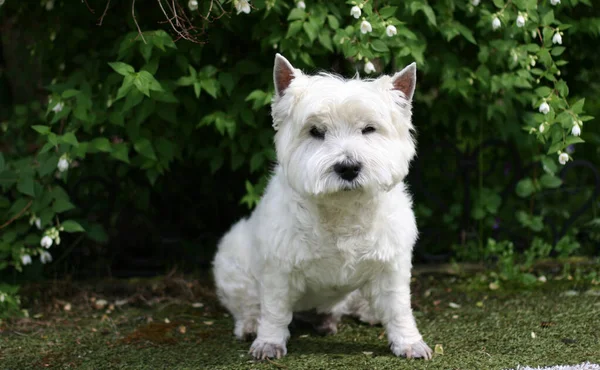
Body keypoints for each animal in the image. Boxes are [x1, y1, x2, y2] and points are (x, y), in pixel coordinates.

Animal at [211, 53, 432, 360]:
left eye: (369, 129)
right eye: (316, 131)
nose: (348, 167)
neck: (342, 208)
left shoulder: (391, 264)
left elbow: (399, 308)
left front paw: (409, 343)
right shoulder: (279, 268)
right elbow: (275, 309)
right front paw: (268, 343)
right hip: (232, 259)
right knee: (248, 304)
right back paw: (252, 325)